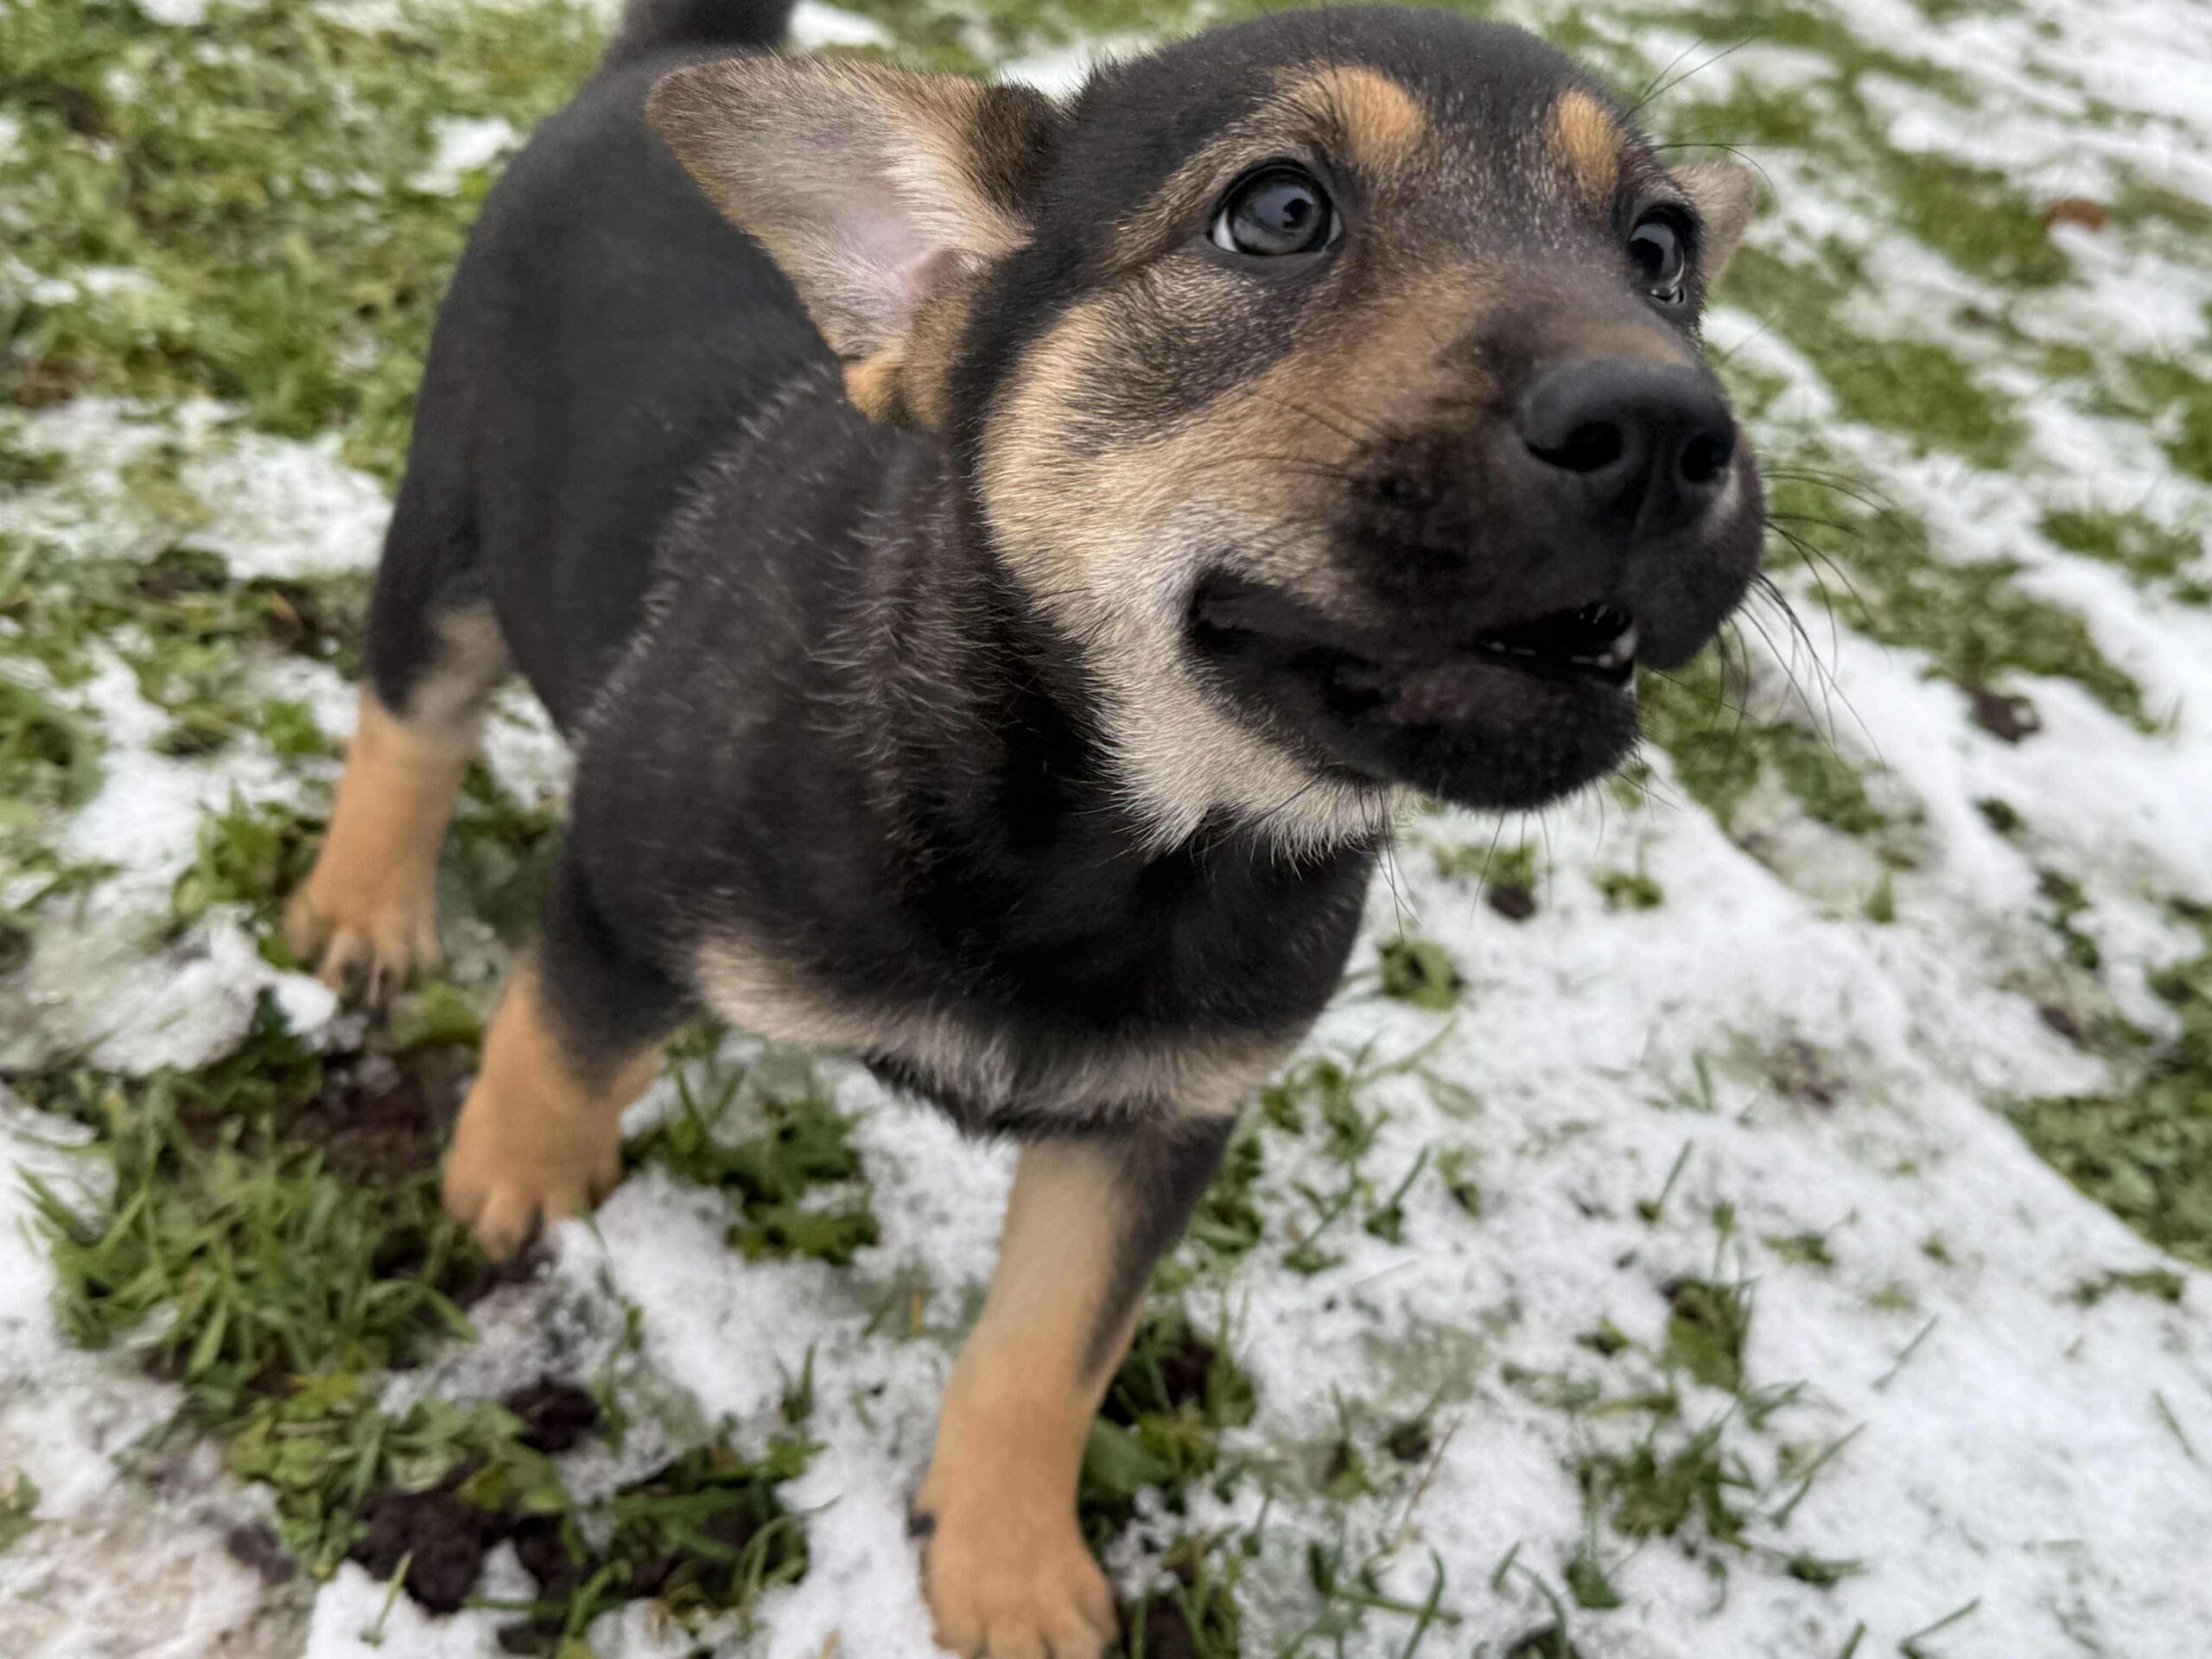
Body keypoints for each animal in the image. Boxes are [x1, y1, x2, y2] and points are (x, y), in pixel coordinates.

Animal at [284, 0, 1763, 1648]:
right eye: (1280, 214)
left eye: (1660, 251)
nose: (1663, 427)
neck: (1119, 835)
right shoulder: (622, 877)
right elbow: (558, 1048)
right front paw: (514, 1196)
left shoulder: (1161, 1124)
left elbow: (1055, 1353)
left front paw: (1005, 1566)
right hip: (452, 533)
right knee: (410, 721)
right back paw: (363, 914)